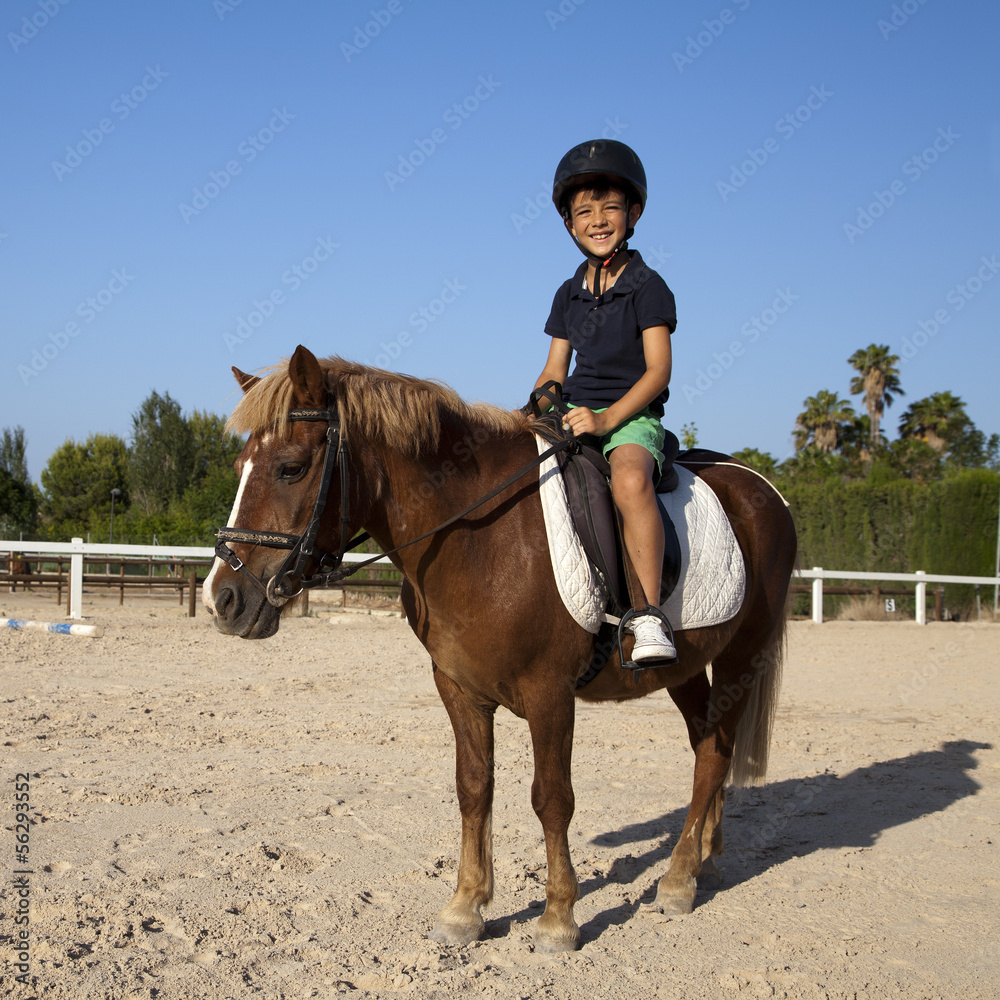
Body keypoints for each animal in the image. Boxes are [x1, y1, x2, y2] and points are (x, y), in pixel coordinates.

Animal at [203, 345, 797, 953]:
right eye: (240, 467)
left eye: (291, 468)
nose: (222, 599)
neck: (478, 537)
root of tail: (760, 486)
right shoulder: (458, 687)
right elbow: (473, 788)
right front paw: (465, 908)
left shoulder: (550, 693)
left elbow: (552, 798)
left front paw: (558, 917)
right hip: (685, 667)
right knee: (707, 747)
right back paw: (704, 861)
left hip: (741, 654)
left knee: (716, 753)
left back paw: (678, 881)